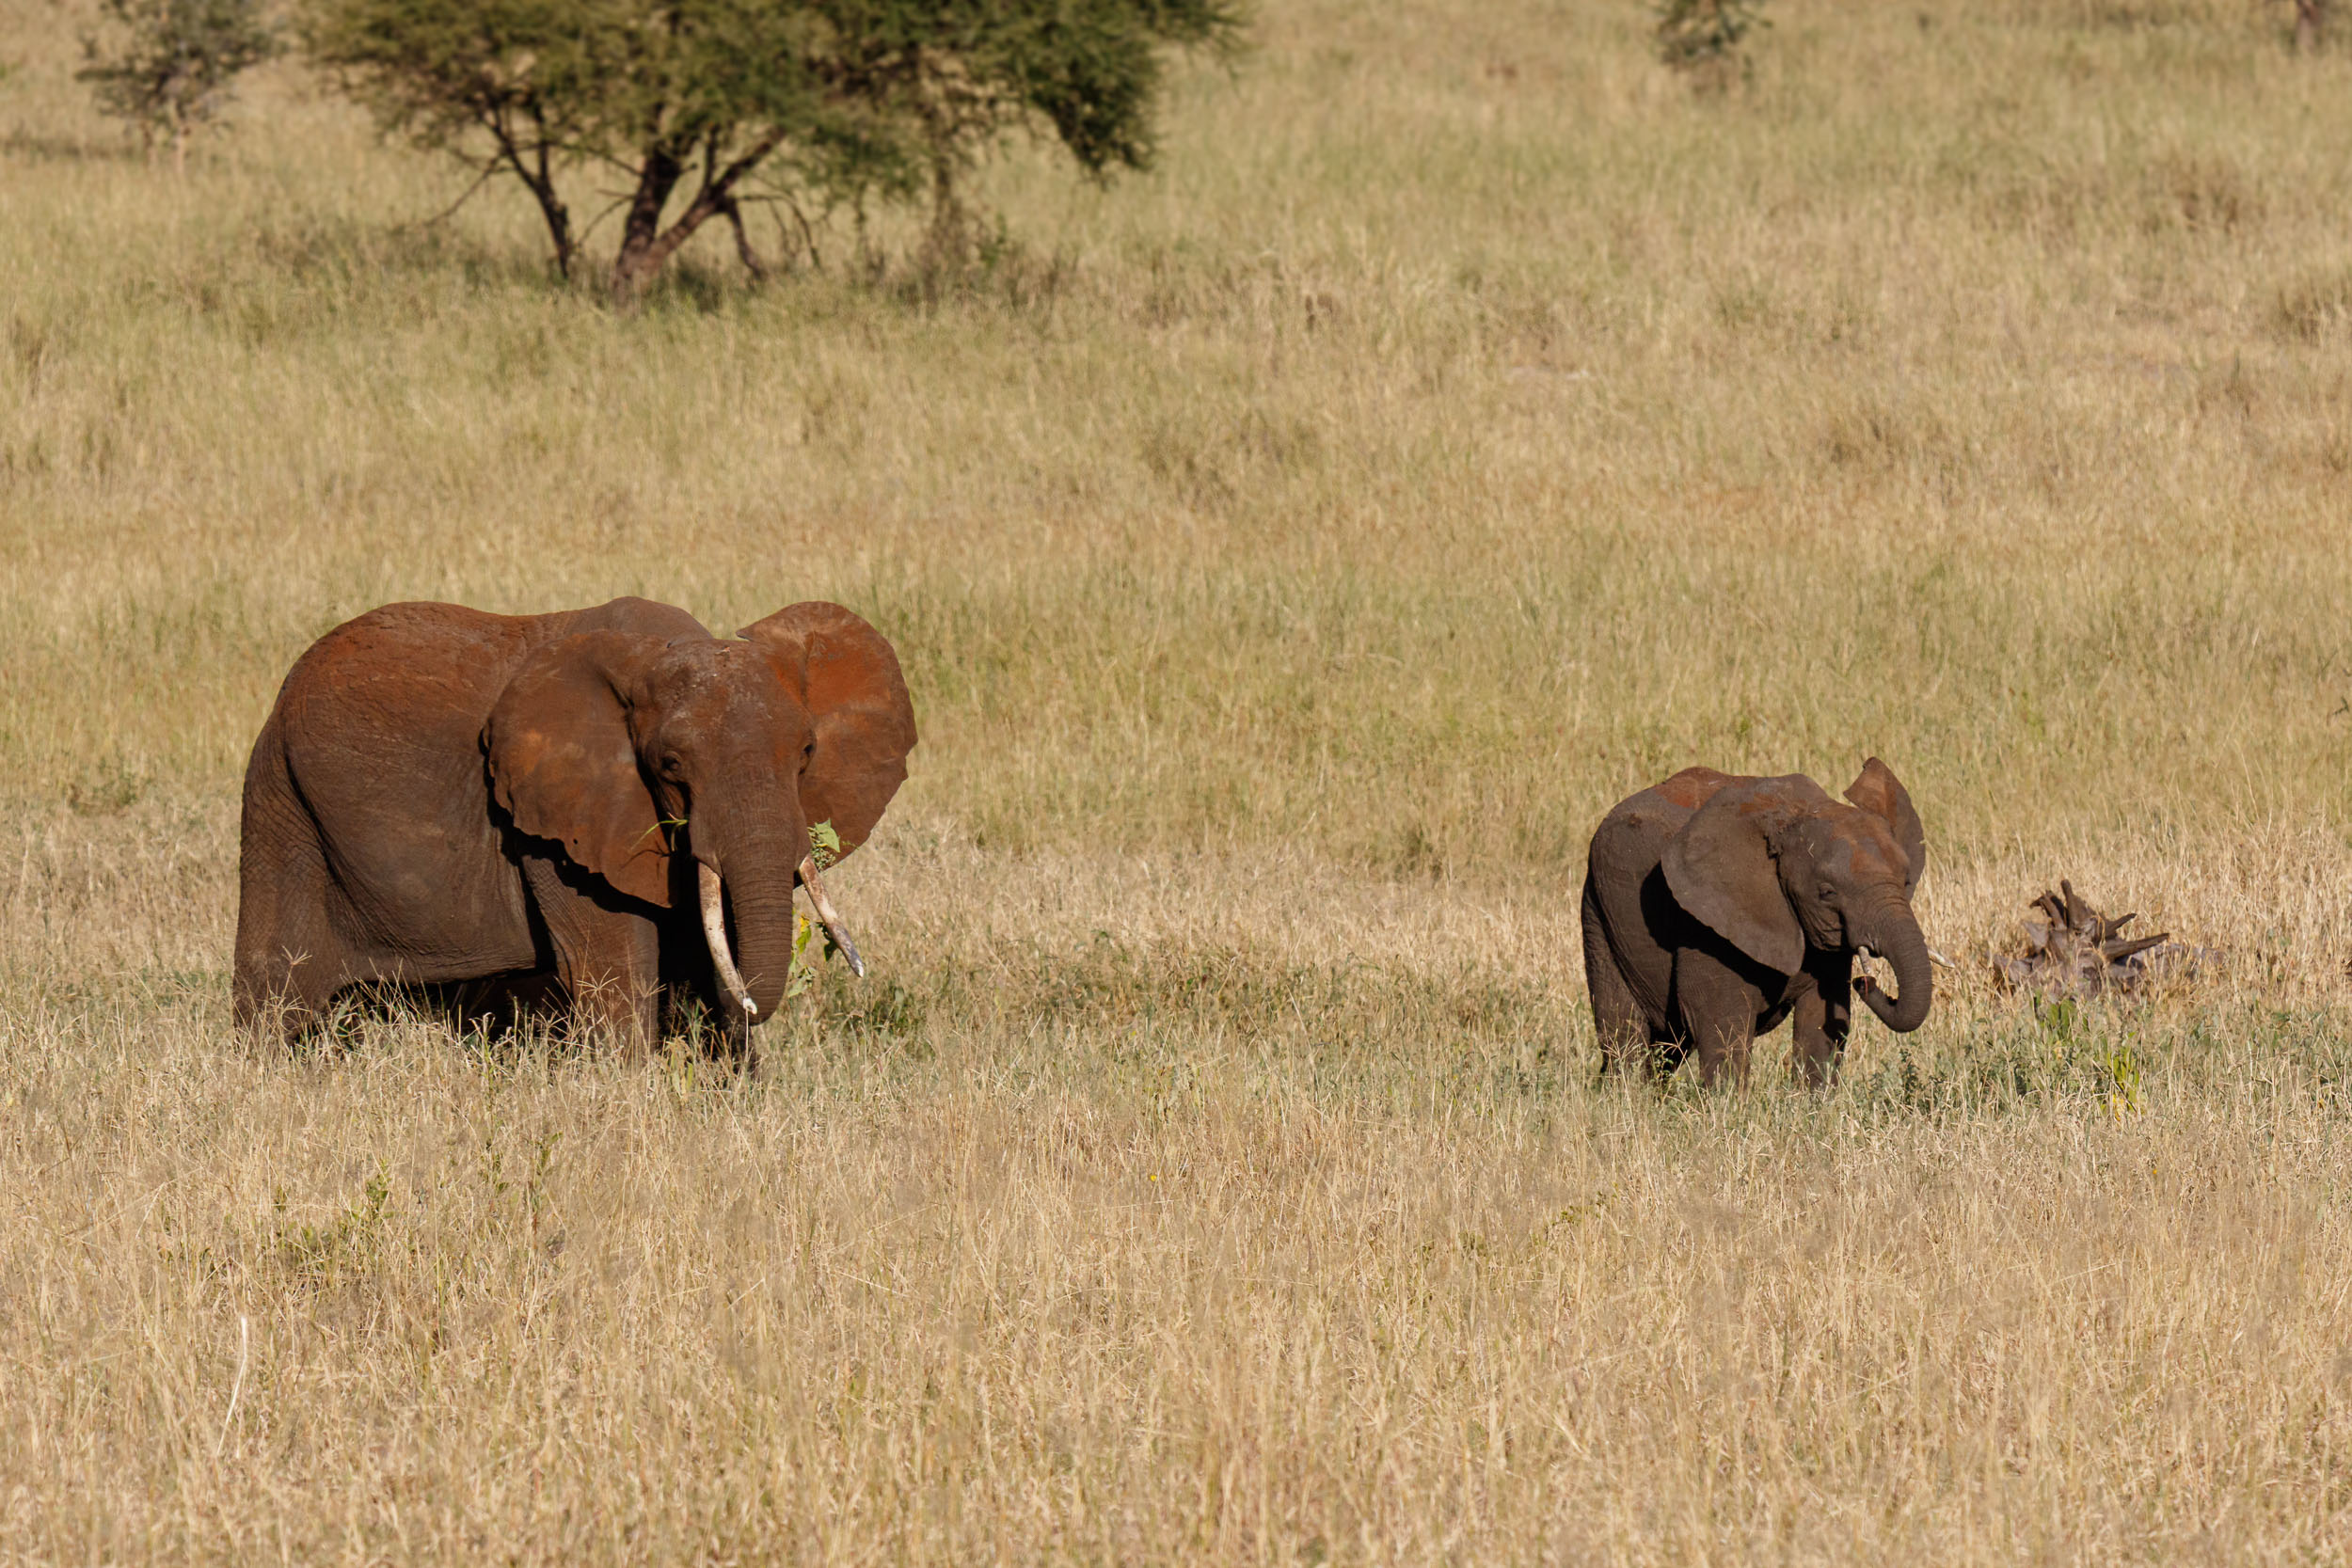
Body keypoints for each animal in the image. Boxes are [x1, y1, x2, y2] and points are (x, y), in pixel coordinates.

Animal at [232, 595, 917, 1057]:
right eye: (670, 766)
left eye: (806, 753)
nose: (752, 1004)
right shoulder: (554, 831)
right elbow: (615, 976)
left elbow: (708, 949)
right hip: (282, 807)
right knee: (275, 994)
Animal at [1580, 758, 1932, 1087]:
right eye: (1827, 893)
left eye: (1905, 880)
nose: (1865, 982)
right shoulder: (1704, 922)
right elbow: (1719, 1020)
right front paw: (1727, 1108)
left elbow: (1820, 1020)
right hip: (1598, 912)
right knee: (1623, 1029)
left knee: (1668, 1046)